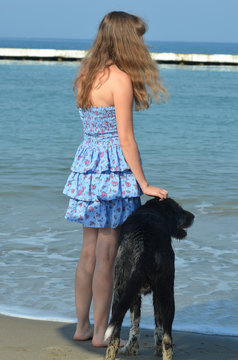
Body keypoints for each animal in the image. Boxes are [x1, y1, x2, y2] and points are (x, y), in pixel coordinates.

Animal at [105, 198, 194, 358]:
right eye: (179, 209)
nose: (193, 216)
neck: (153, 209)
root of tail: (145, 245)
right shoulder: (151, 295)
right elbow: (156, 328)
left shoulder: (133, 294)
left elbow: (135, 326)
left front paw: (130, 349)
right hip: (166, 294)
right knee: (167, 340)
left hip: (119, 294)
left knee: (114, 337)